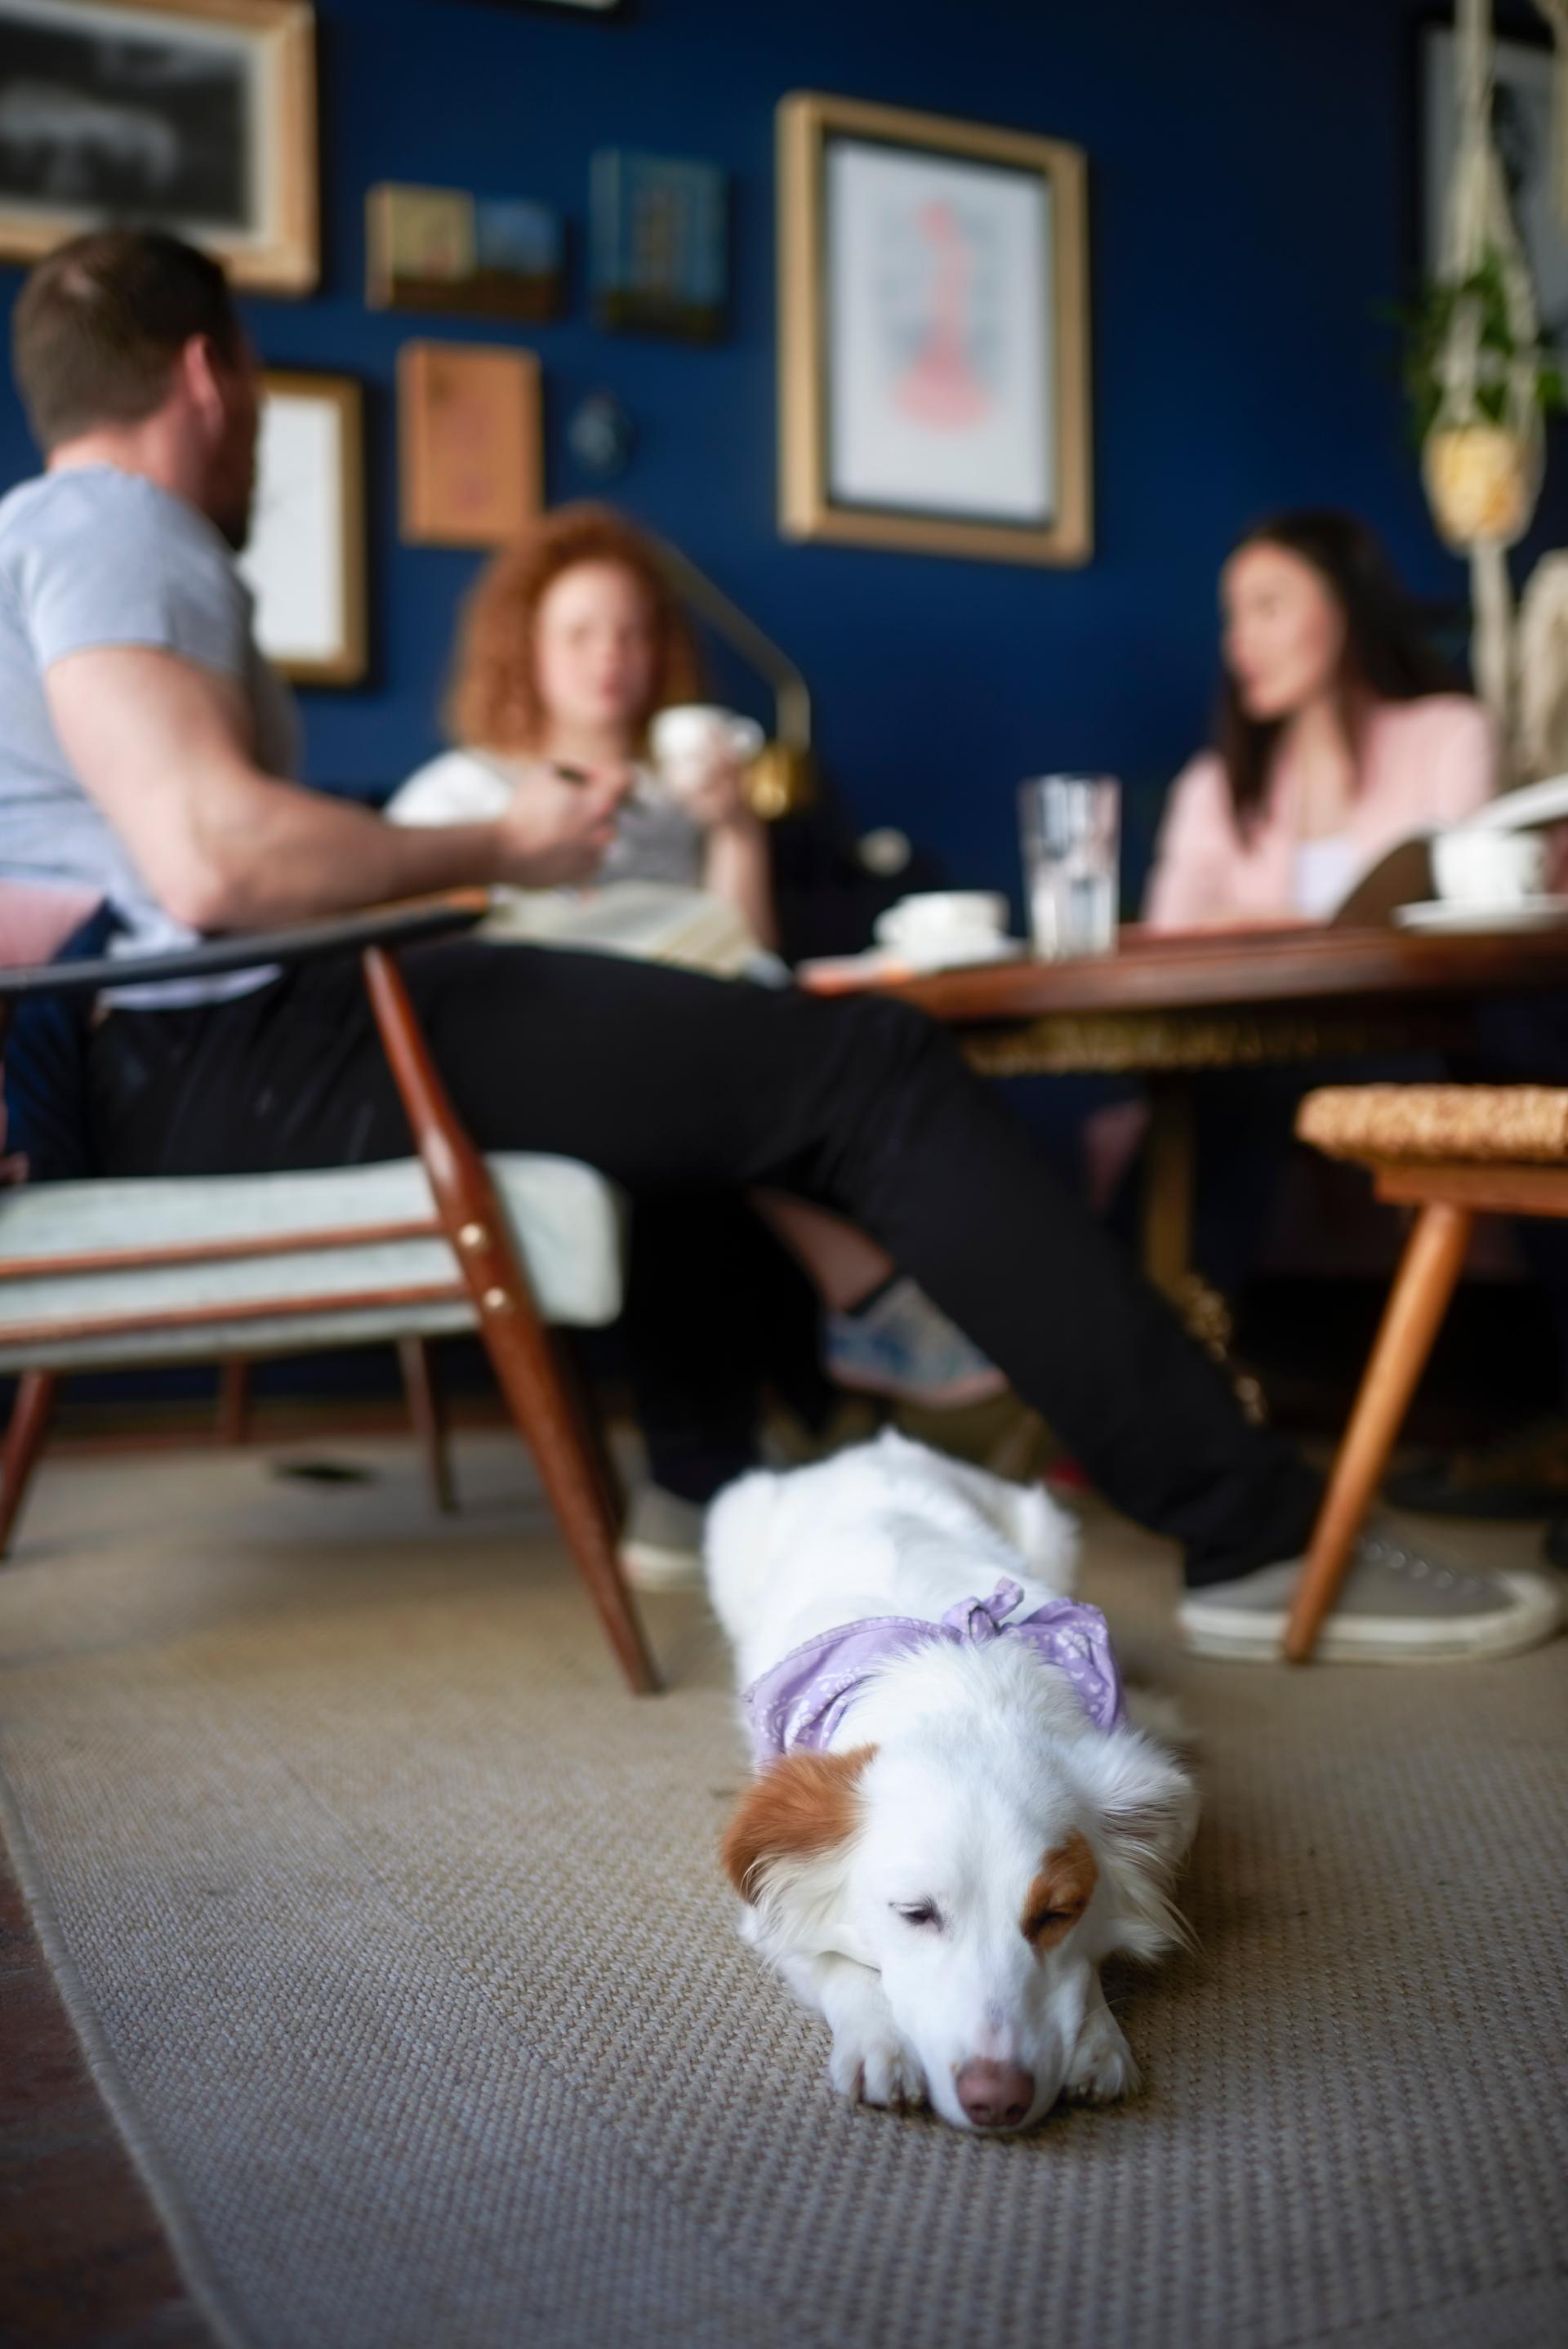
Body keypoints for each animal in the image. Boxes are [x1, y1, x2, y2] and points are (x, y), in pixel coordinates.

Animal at [709, 1428, 1201, 2133]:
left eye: (1057, 1913)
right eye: (915, 1914)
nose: (997, 2100)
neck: (966, 1699)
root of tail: (879, 1446)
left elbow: (1087, 1966)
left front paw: (1096, 2037)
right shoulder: (771, 1899)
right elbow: (833, 1958)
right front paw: (880, 2041)